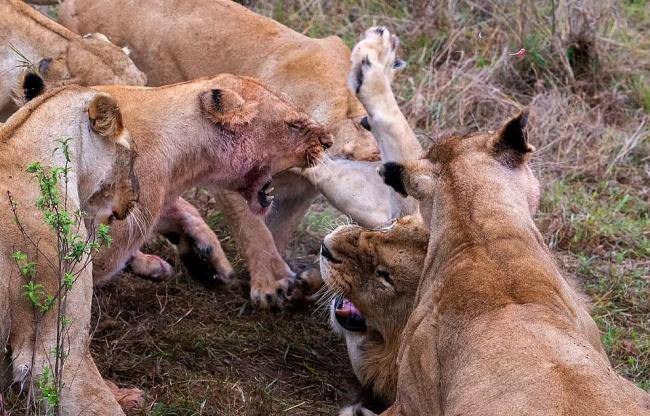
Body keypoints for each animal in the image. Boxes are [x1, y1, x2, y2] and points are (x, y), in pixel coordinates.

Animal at [55, 0, 420, 306]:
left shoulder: (298, 193)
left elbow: (279, 229)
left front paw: (293, 281)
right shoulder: (226, 165)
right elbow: (253, 227)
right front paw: (272, 284)